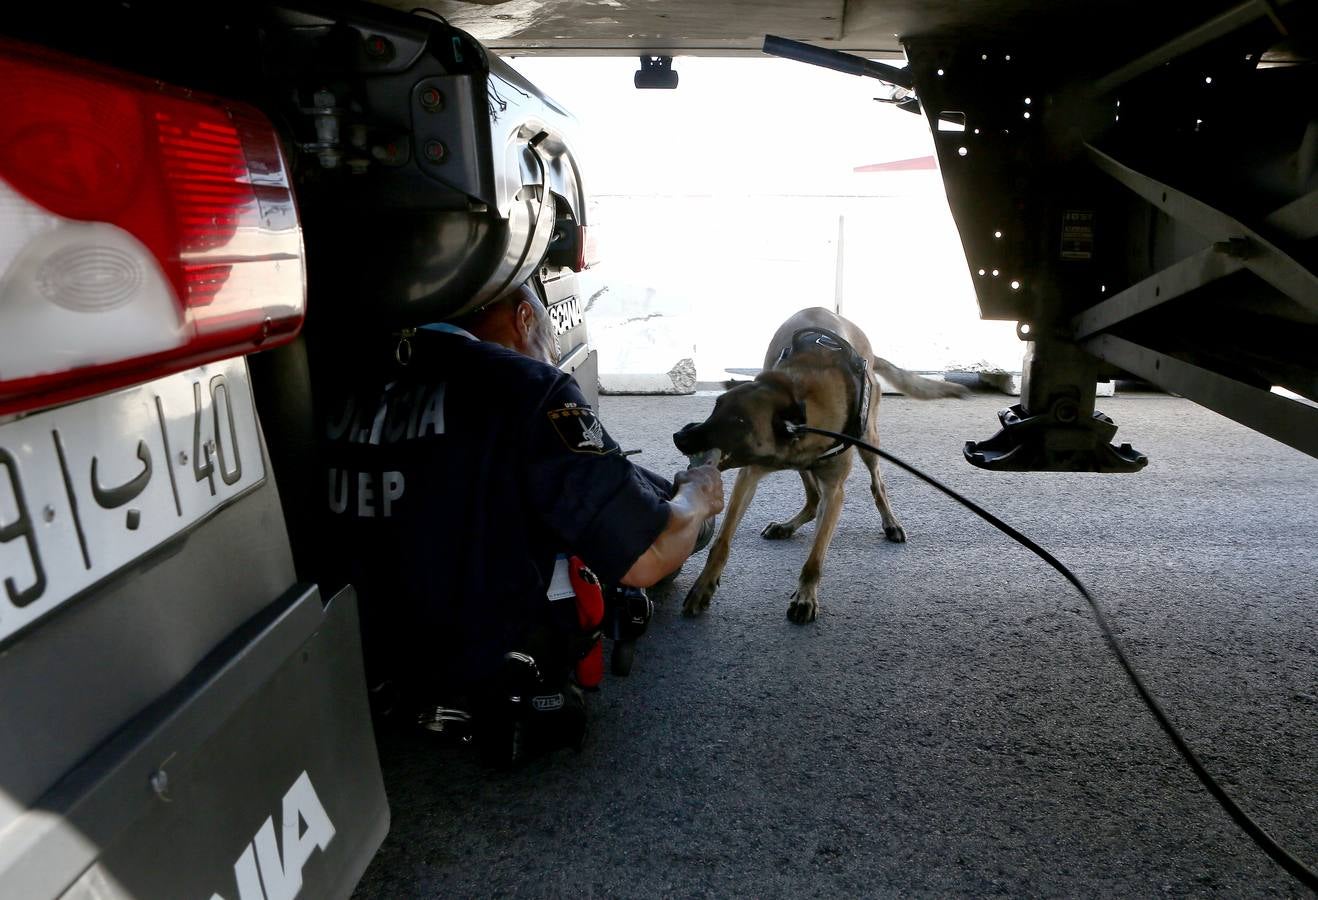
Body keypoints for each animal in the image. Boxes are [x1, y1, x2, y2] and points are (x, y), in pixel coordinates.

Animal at [674, 305, 964, 621]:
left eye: (739, 422)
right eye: (716, 406)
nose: (679, 436)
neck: (799, 402)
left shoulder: (835, 493)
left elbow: (815, 557)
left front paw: (805, 597)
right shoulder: (749, 476)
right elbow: (722, 542)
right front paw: (703, 587)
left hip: (870, 442)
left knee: (877, 484)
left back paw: (890, 523)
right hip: (808, 467)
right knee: (813, 498)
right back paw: (787, 526)